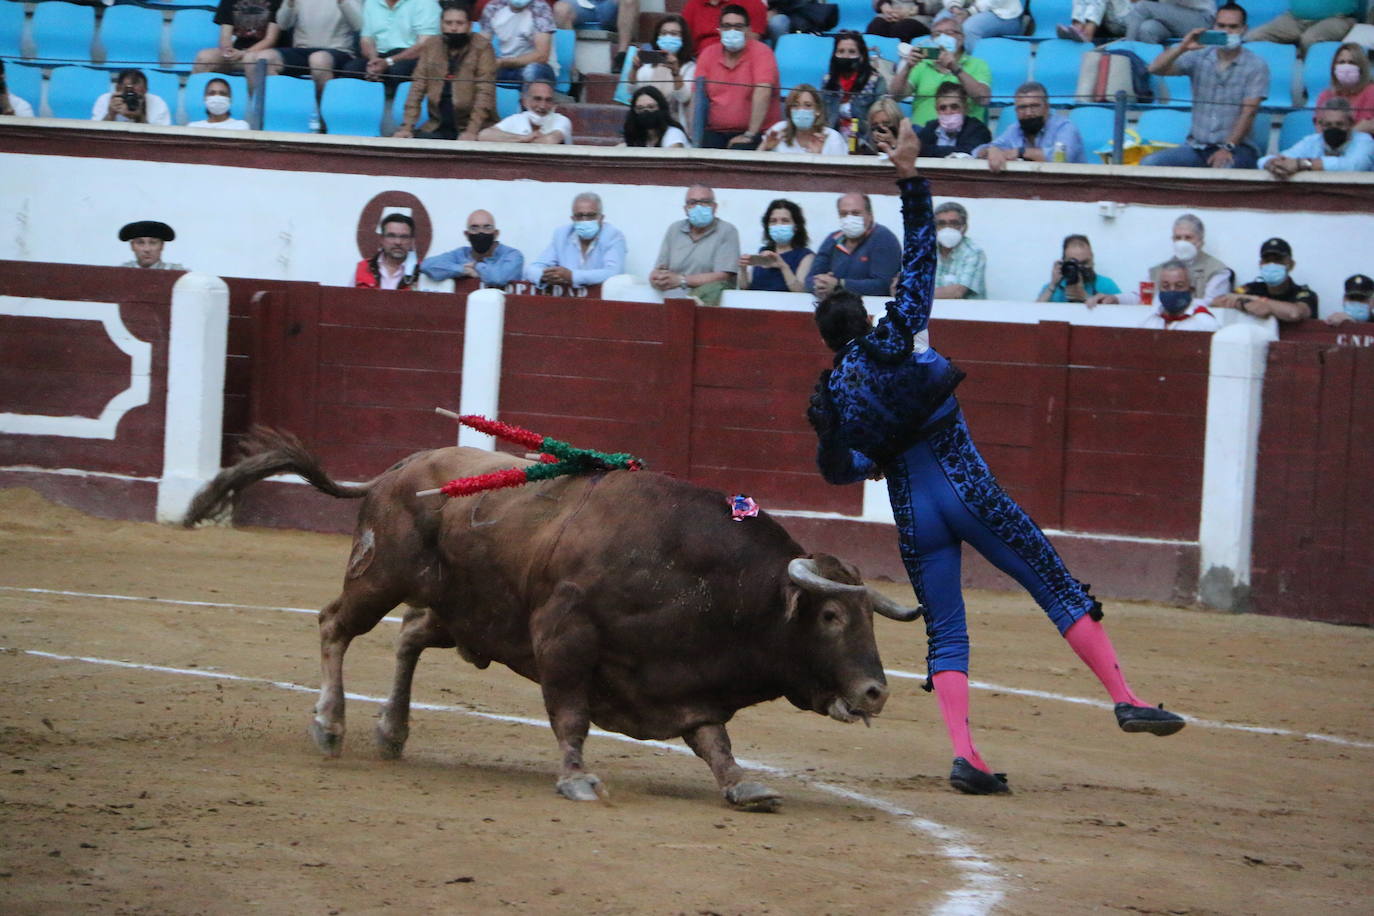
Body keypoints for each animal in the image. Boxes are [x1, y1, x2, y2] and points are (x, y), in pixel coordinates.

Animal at [188, 433, 917, 813]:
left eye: (867, 617)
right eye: (830, 614)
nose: (876, 691)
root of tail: (396, 470)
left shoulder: (684, 681)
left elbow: (714, 740)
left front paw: (743, 785)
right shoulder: (565, 639)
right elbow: (571, 715)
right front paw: (576, 777)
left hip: (463, 611)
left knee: (410, 635)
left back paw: (392, 732)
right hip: (380, 575)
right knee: (335, 626)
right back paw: (330, 725)